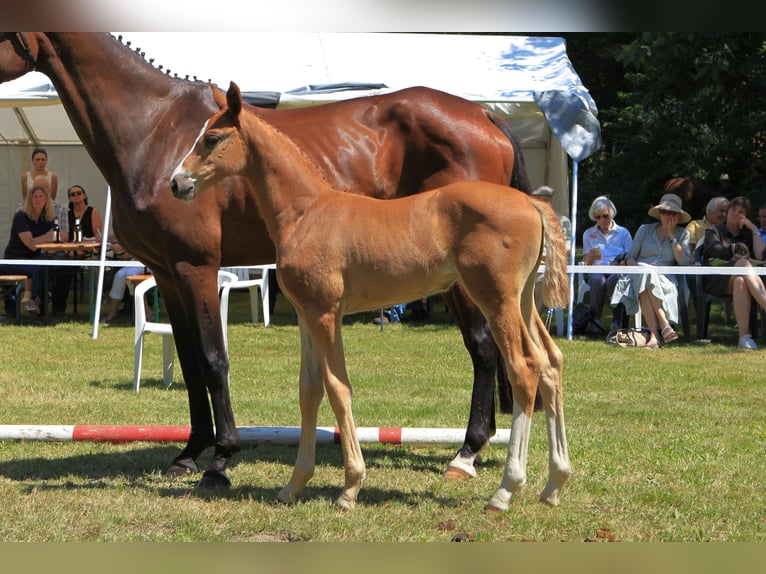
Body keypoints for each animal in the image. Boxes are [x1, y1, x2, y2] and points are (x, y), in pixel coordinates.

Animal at [0, 31, 536, 490]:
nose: (180, 182)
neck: (153, 128)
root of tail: (485, 117)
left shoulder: (196, 267)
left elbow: (213, 359)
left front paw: (220, 459)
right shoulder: (167, 273)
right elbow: (189, 362)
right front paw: (189, 453)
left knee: (485, 349)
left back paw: (466, 454)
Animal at [171, 83, 572, 510]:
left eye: (212, 138)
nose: (177, 183)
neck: (306, 211)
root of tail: (531, 202)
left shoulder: (327, 314)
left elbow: (338, 387)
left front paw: (350, 487)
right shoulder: (305, 314)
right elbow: (309, 390)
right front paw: (294, 485)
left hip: (495, 299)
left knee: (524, 367)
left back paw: (505, 488)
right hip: (523, 300)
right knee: (551, 362)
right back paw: (554, 484)